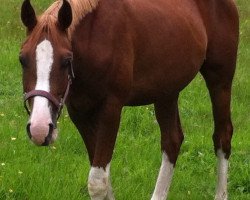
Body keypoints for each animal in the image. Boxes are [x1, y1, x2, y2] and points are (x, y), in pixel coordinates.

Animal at [19, 0, 238, 199]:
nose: (39, 128)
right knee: (172, 141)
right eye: (22, 59)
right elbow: (104, 178)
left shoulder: (111, 109)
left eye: (66, 60)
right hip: (166, 92)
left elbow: (97, 182)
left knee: (222, 136)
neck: (94, 39)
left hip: (220, 81)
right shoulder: (80, 114)